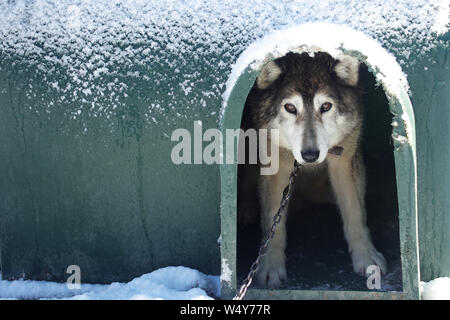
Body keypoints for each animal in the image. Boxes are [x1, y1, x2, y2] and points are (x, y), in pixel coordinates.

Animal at [244, 52, 388, 288]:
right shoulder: (276, 165)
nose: (310, 155)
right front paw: (270, 266)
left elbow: (355, 213)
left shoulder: (344, 158)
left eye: (326, 106)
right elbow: (273, 222)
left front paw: (367, 257)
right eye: (290, 108)